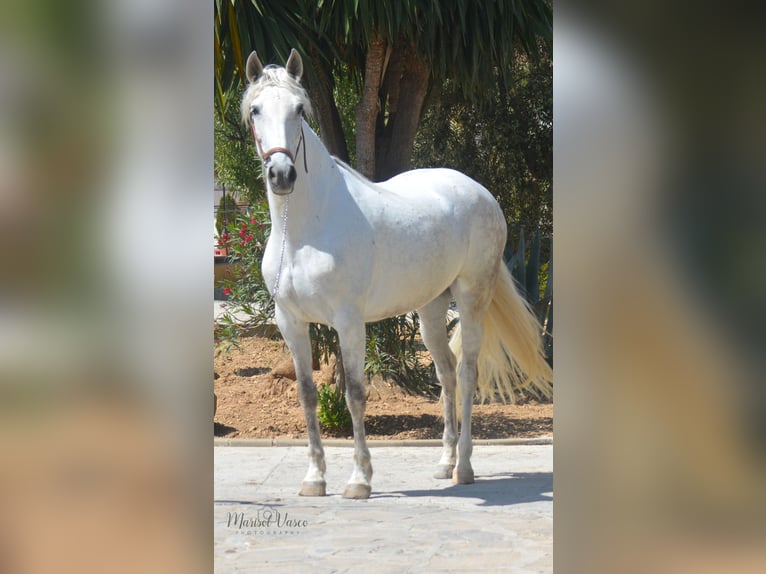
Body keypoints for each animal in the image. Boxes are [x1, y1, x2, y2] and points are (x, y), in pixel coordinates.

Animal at [240, 49, 552, 500]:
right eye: (255, 110)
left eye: (299, 109)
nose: (281, 175)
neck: (303, 231)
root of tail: (480, 193)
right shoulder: (290, 321)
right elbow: (307, 394)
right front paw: (314, 478)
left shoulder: (348, 322)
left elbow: (354, 394)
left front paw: (359, 479)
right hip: (431, 310)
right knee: (445, 374)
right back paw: (444, 463)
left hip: (471, 299)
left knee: (466, 372)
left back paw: (464, 468)